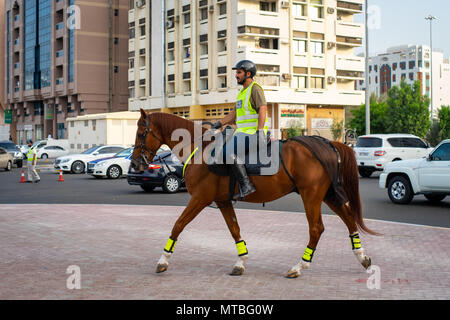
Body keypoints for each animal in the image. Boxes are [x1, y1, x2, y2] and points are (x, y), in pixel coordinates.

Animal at [132, 110, 378, 278]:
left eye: (141, 133)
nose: (135, 164)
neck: (201, 148)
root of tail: (327, 143)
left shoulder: (200, 199)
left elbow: (178, 225)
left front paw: (163, 259)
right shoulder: (223, 201)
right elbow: (234, 230)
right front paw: (241, 262)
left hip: (311, 196)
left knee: (317, 229)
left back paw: (300, 266)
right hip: (327, 195)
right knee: (349, 219)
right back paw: (362, 257)